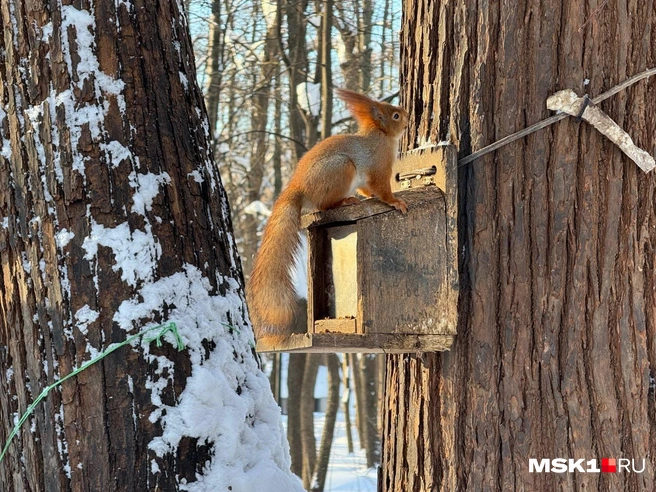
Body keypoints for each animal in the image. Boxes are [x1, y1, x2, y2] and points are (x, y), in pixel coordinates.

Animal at [247, 88, 408, 342]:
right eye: (395, 116)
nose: (408, 116)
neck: (380, 134)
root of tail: (299, 187)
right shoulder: (378, 165)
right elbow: (381, 188)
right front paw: (395, 201)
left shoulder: (367, 180)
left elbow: (368, 190)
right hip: (342, 168)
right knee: (323, 205)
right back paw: (345, 200)